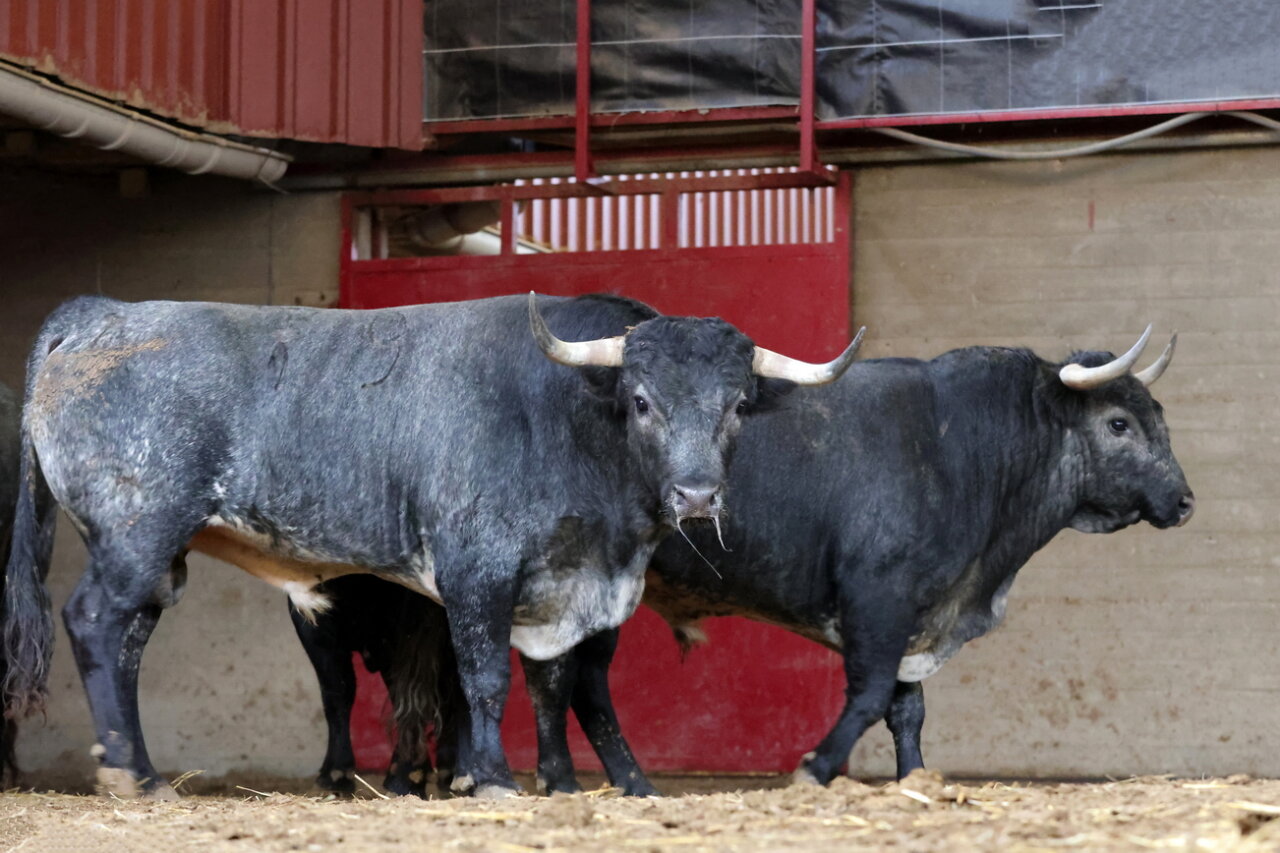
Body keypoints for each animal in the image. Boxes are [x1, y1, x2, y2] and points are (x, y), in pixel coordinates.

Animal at [1, 291, 862, 800]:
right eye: (643, 400)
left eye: (738, 405)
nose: (695, 495)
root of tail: (99, 312)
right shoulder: (477, 571)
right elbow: (484, 680)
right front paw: (491, 779)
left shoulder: (567, 590)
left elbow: (555, 685)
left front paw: (562, 783)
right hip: (137, 534)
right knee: (93, 624)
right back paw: (128, 774)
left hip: (156, 559)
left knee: (126, 647)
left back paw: (144, 770)